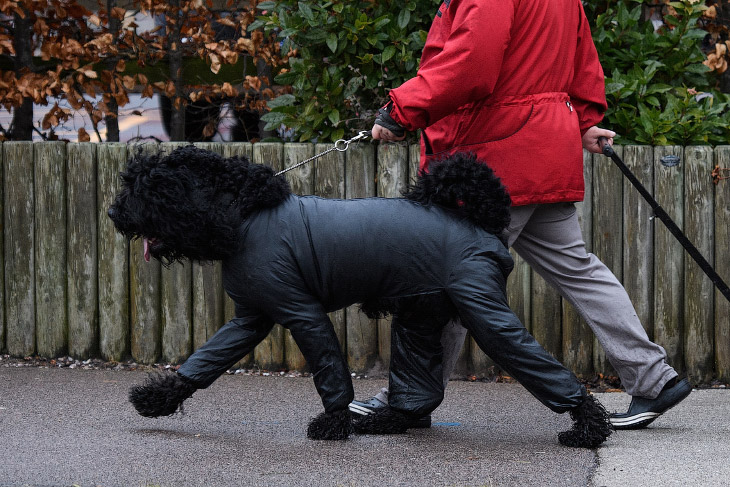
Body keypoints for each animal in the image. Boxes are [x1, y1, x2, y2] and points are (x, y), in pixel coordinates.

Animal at [108, 147, 608, 448]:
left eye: (145, 187)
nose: (114, 213)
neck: (243, 214)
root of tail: (484, 221)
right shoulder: (250, 317)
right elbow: (203, 362)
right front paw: (158, 398)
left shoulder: (302, 313)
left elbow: (330, 372)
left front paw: (332, 423)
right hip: (419, 315)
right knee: (417, 388)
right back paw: (384, 420)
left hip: (483, 313)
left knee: (540, 367)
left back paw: (589, 424)